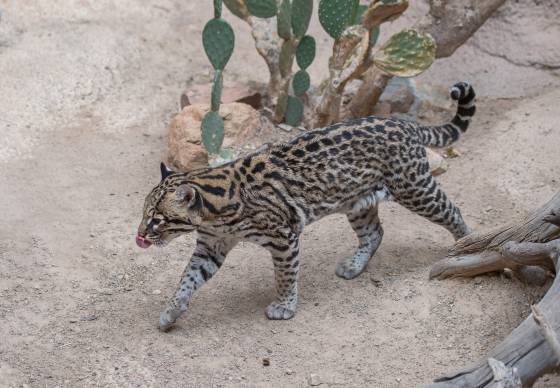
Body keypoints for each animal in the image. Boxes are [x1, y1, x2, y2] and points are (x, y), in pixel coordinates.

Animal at [137, 82, 476, 330]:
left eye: (157, 219)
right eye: (144, 215)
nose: (139, 235)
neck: (213, 214)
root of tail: (406, 125)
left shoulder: (283, 236)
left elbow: (285, 274)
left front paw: (284, 305)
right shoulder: (210, 246)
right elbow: (188, 278)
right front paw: (173, 310)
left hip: (414, 188)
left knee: (453, 211)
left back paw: (466, 244)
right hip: (358, 201)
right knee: (375, 233)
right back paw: (355, 265)